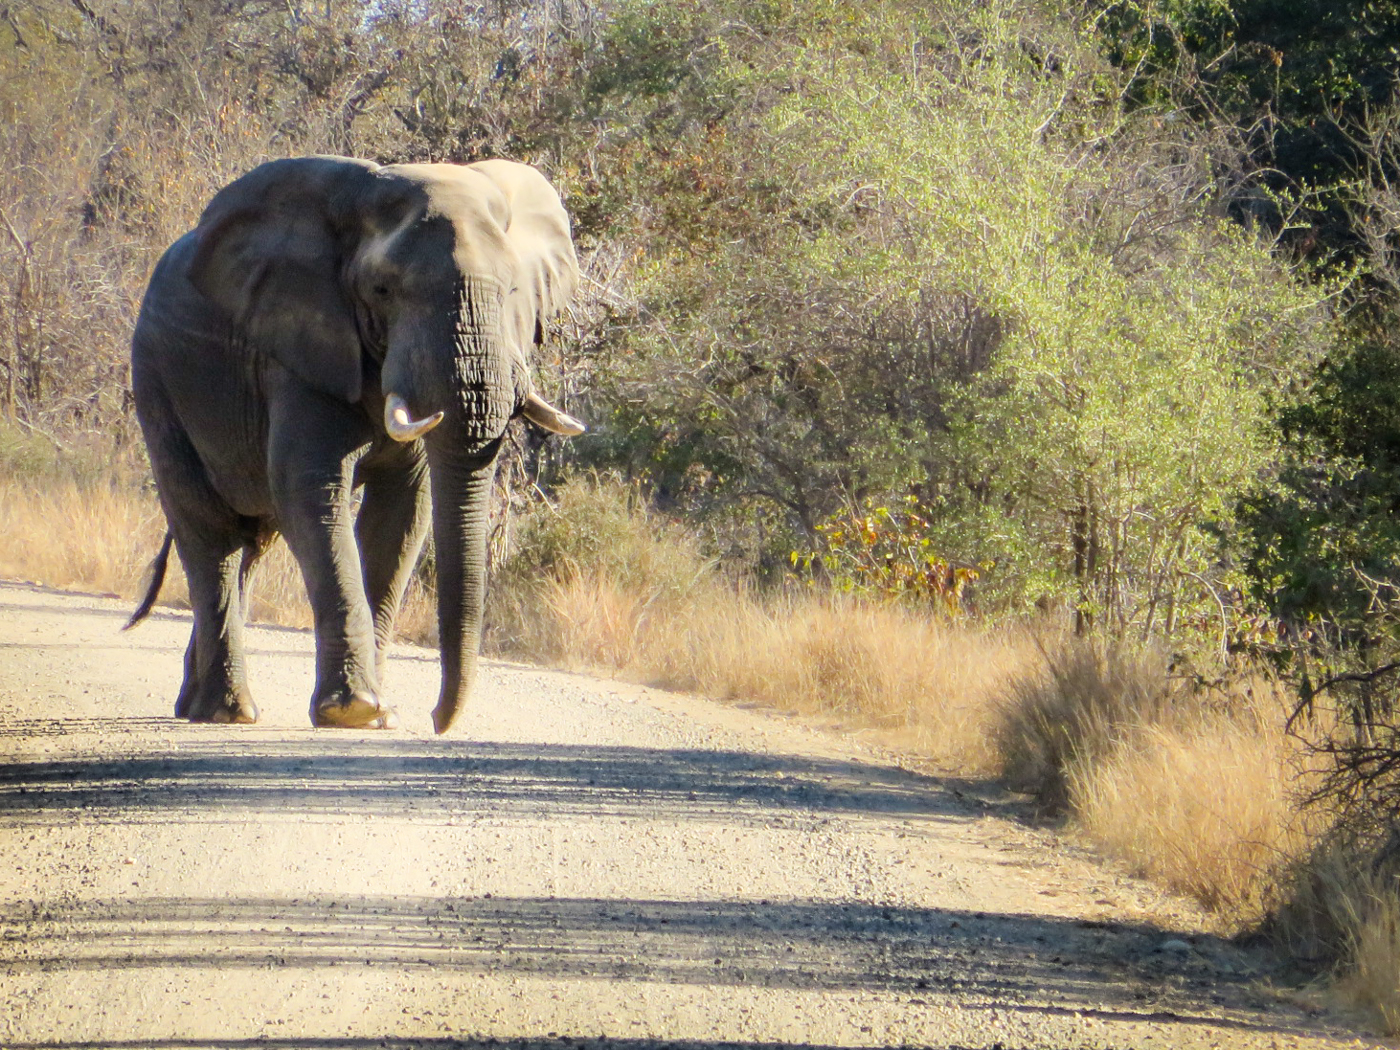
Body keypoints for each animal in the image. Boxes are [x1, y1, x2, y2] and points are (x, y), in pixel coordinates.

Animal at [124, 156, 585, 733]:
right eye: (383, 290)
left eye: (514, 293)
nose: (437, 720)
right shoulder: (296, 352)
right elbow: (313, 493)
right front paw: (354, 710)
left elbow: (404, 513)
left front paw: (378, 718)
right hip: (156, 380)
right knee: (209, 533)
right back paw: (227, 712)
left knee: (250, 542)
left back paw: (196, 705)